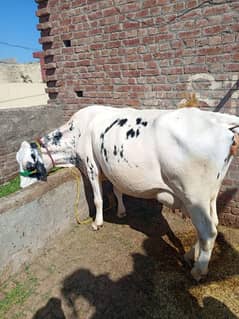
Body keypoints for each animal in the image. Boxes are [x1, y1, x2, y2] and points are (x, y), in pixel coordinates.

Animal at [16, 106, 239, 282]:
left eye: (29, 165)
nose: (21, 187)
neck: (77, 132)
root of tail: (215, 119)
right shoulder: (112, 169)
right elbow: (117, 190)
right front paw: (121, 211)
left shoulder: (91, 165)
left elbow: (98, 199)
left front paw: (97, 223)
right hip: (210, 193)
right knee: (212, 224)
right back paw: (189, 256)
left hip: (194, 196)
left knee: (208, 232)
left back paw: (198, 271)